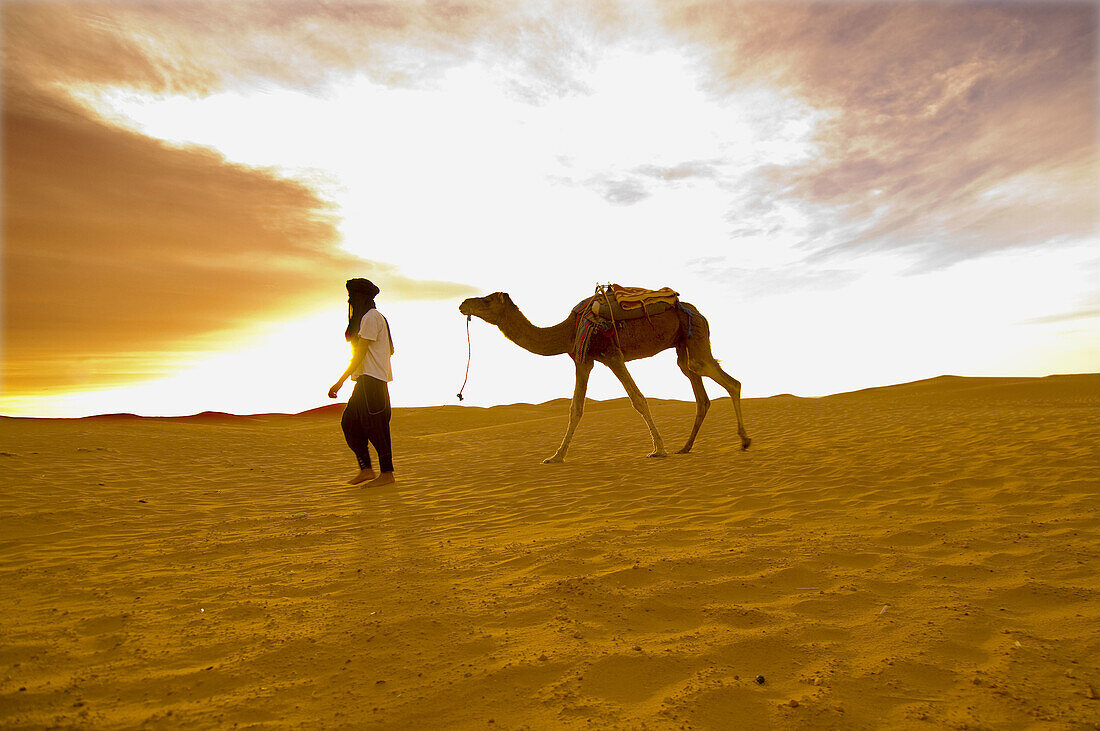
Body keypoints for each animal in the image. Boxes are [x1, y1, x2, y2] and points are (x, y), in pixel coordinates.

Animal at [459, 290, 752, 461]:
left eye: (486, 299)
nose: (463, 304)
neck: (566, 331)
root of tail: (697, 311)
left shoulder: (612, 355)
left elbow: (638, 400)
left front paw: (658, 449)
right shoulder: (584, 359)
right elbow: (575, 408)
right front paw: (556, 456)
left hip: (696, 337)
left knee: (728, 380)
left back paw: (744, 441)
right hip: (683, 346)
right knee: (700, 390)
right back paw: (686, 447)